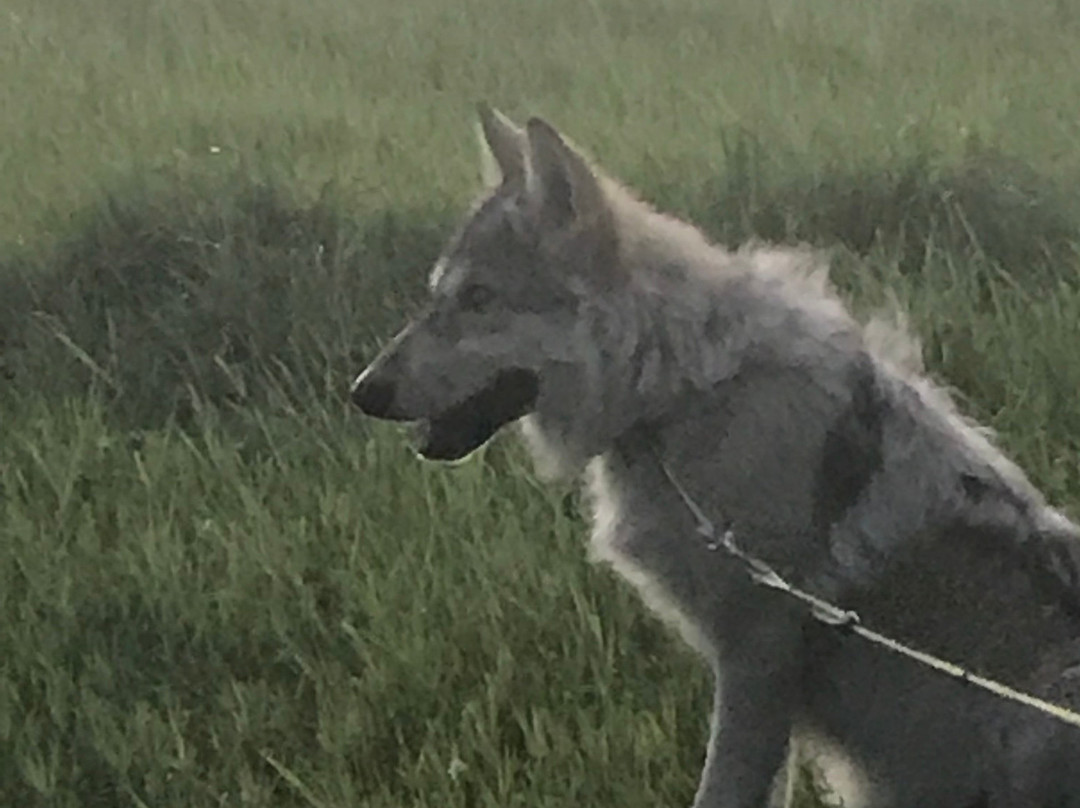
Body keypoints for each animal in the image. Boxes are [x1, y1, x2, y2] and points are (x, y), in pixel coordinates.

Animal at [350, 105, 1080, 807]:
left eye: (478, 300)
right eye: (437, 297)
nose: (362, 392)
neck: (673, 398)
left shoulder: (757, 655)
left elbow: (723, 788)